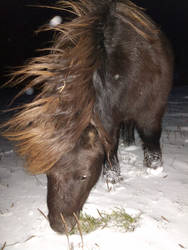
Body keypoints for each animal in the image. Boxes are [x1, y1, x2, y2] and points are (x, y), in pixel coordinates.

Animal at [2, 0, 174, 234]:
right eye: (48, 174)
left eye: (83, 175)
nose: (59, 226)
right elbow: (110, 148)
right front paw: (113, 177)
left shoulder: (151, 114)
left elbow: (150, 140)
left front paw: (153, 169)